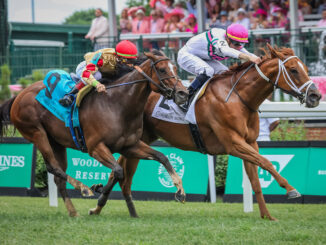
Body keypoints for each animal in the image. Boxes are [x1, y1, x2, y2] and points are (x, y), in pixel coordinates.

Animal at [0, 50, 187, 215]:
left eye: (176, 69)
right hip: (36, 133)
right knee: (53, 167)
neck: (118, 104)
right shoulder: (95, 147)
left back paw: (73, 212)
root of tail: (18, 96)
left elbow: (161, 157)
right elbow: (118, 170)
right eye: (162, 69)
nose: (183, 93)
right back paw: (84, 188)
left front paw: (180, 190)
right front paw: (98, 191)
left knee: (58, 176)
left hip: (56, 142)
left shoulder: (130, 145)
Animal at [91, 43, 320, 218]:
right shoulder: (233, 143)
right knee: (120, 171)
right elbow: (266, 162)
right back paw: (100, 203)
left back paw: (100, 205)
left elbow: (255, 179)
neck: (238, 97)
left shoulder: (250, 143)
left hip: (139, 139)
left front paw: (267, 216)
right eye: (293, 70)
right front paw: (291, 190)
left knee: (120, 170)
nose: (315, 96)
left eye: (305, 68)